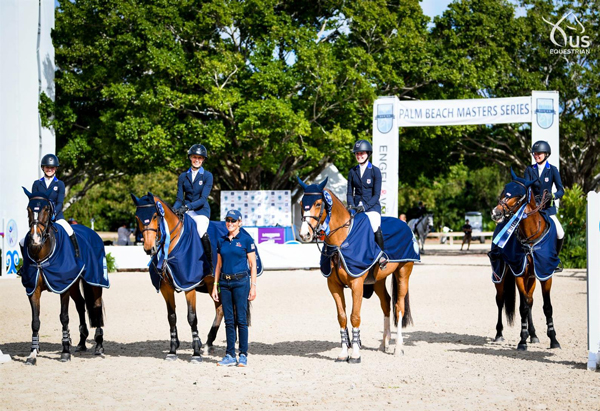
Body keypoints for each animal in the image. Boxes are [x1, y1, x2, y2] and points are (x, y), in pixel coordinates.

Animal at [20, 188, 108, 366]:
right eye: (28, 209)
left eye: (47, 209)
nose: (35, 238)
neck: (41, 254)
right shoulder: (33, 289)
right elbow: (35, 321)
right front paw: (33, 353)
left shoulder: (63, 287)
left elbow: (64, 317)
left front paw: (65, 352)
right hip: (73, 284)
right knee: (81, 305)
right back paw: (82, 343)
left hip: (94, 281)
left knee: (95, 307)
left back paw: (98, 345)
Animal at [131, 193, 223, 364]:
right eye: (137, 217)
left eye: (155, 216)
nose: (149, 248)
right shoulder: (166, 288)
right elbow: (171, 317)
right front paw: (173, 350)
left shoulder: (189, 285)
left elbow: (192, 317)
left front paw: (195, 353)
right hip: (210, 286)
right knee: (220, 309)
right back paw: (208, 344)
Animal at [296, 178, 418, 364]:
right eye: (302, 203)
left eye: (318, 203)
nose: (304, 234)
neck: (341, 242)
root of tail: (405, 225)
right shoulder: (334, 286)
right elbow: (342, 317)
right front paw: (343, 353)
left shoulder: (357, 284)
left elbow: (355, 316)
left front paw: (355, 354)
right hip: (378, 280)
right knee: (386, 303)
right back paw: (384, 343)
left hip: (403, 272)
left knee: (399, 306)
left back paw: (398, 348)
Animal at [490, 171, 560, 350]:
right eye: (504, 190)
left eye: (519, 195)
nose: (496, 213)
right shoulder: (519, 273)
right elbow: (522, 308)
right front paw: (522, 340)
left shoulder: (544, 273)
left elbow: (547, 307)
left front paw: (553, 339)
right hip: (500, 274)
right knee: (500, 300)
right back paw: (499, 334)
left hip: (531, 278)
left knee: (530, 301)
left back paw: (533, 334)